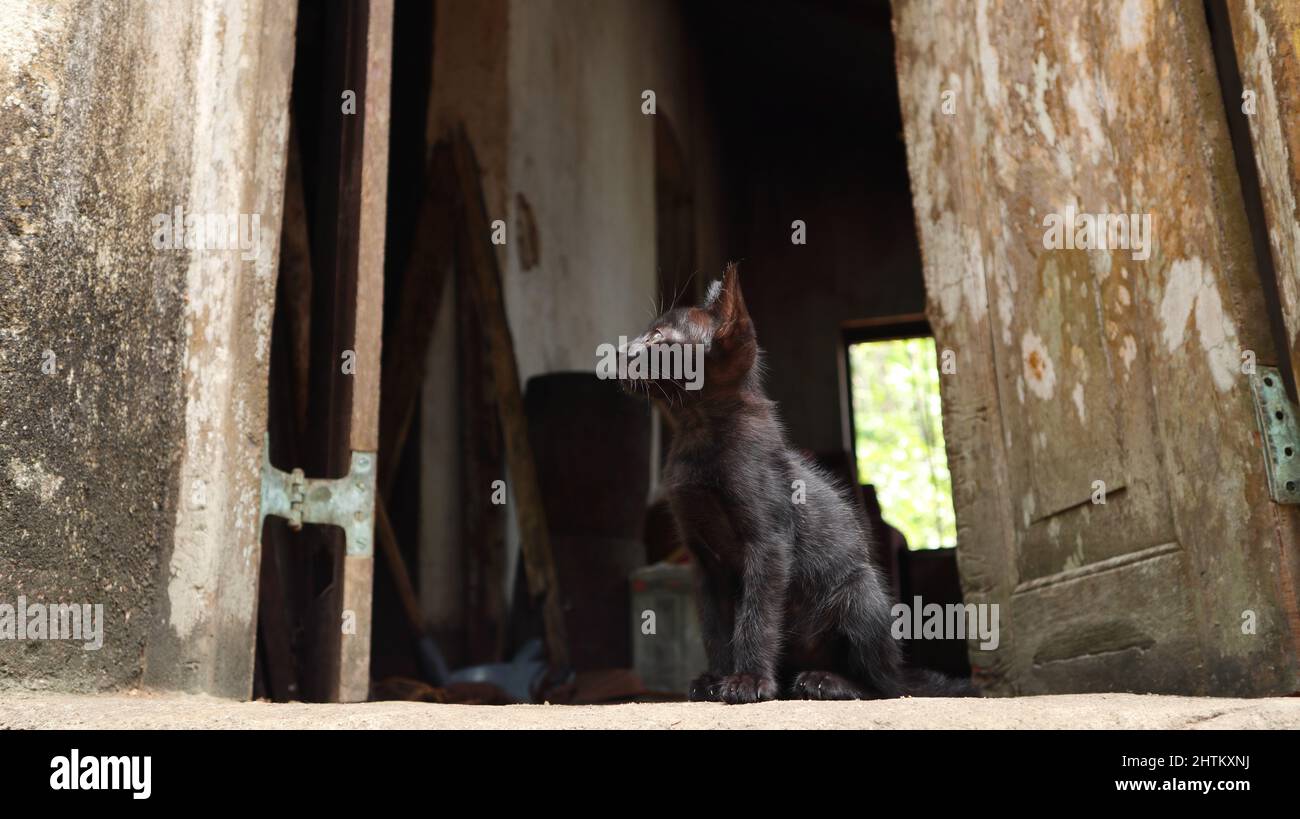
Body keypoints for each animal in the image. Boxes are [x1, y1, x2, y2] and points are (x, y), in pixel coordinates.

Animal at [621, 265, 977, 707]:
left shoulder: (769, 543)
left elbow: (756, 615)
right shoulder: (704, 562)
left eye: (658, 338)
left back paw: (827, 681)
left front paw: (749, 681)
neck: (695, 432)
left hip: (860, 591)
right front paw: (716, 679)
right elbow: (716, 626)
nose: (624, 351)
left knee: (887, 687)